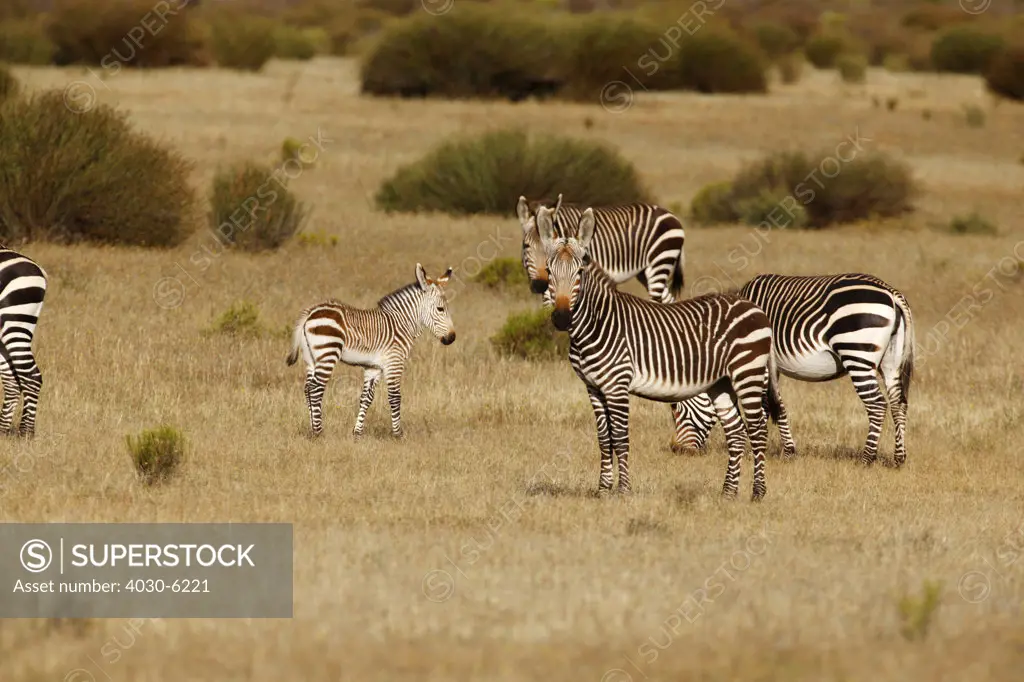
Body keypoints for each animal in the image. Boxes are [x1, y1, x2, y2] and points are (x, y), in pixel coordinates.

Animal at [282, 260, 454, 436]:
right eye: (440, 309)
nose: (452, 338)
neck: (401, 324)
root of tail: (310, 313)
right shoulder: (394, 362)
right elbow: (395, 397)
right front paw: (398, 434)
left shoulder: (374, 367)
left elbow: (366, 398)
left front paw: (357, 432)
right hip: (328, 352)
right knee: (316, 388)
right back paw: (319, 432)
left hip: (311, 358)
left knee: (307, 388)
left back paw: (312, 430)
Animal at [512, 192, 688, 301]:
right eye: (526, 246)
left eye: (548, 250)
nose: (539, 285)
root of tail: (672, 216)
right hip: (646, 272)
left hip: (660, 260)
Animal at [536, 204, 782, 497]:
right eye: (549, 271)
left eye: (580, 272)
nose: (562, 318)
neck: (596, 324)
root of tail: (756, 308)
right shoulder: (593, 388)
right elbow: (604, 439)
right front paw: (603, 490)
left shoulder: (617, 385)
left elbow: (620, 437)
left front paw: (624, 491)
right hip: (721, 383)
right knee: (736, 432)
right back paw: (728, 493)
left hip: (747, 373)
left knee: (757, 430)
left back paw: (758, 492)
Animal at [675, 272, 917, 466]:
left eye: (676, 408)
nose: (677, 450)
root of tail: (890, 292)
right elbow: (774, 405)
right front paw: (780, 450)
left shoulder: (757, 362)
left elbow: (766, 406)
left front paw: (770, 452)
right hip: (891, 362)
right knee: (898, 403)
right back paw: (899, 458)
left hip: (857, 353)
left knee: (877, 404)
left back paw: (867, 459)